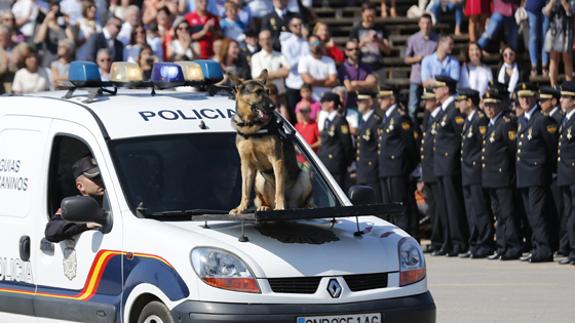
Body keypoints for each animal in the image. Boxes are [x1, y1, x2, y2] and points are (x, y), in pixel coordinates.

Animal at [230, 70, 312, 215]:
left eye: (267, 91)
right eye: (257, 92)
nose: (273, 107)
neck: (252, 126)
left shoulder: (277, 159)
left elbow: (279, 189)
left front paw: (280, 207)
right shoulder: (246, 164)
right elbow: (244, 190)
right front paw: (241, 208)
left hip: (304, 177)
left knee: (300, 201)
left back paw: (302, 206)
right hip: (258, 178)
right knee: (264, 200)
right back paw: (265, 206)